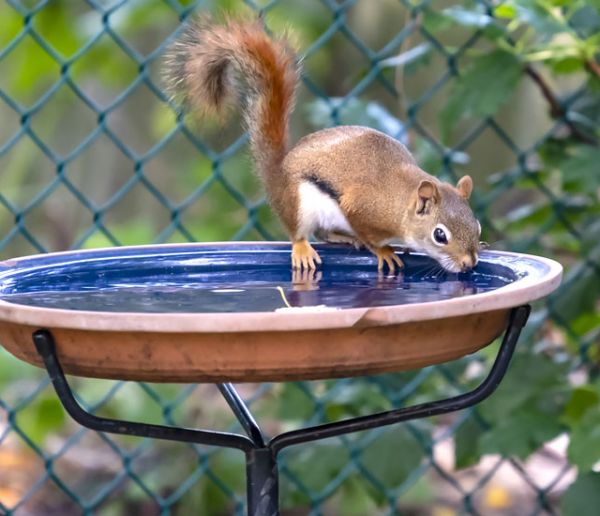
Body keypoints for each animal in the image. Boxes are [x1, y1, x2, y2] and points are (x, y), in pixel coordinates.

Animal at [165, 16, 482, 274]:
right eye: (440, 235)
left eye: (477, 225)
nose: (469, 264)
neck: (399, 201)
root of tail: (278, 174)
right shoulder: (361, 208)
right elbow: (370, 236)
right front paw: (383, 250)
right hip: (299, 203)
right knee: (301, 232)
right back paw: (304, 249)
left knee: (326, 234)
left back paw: (345, 238)